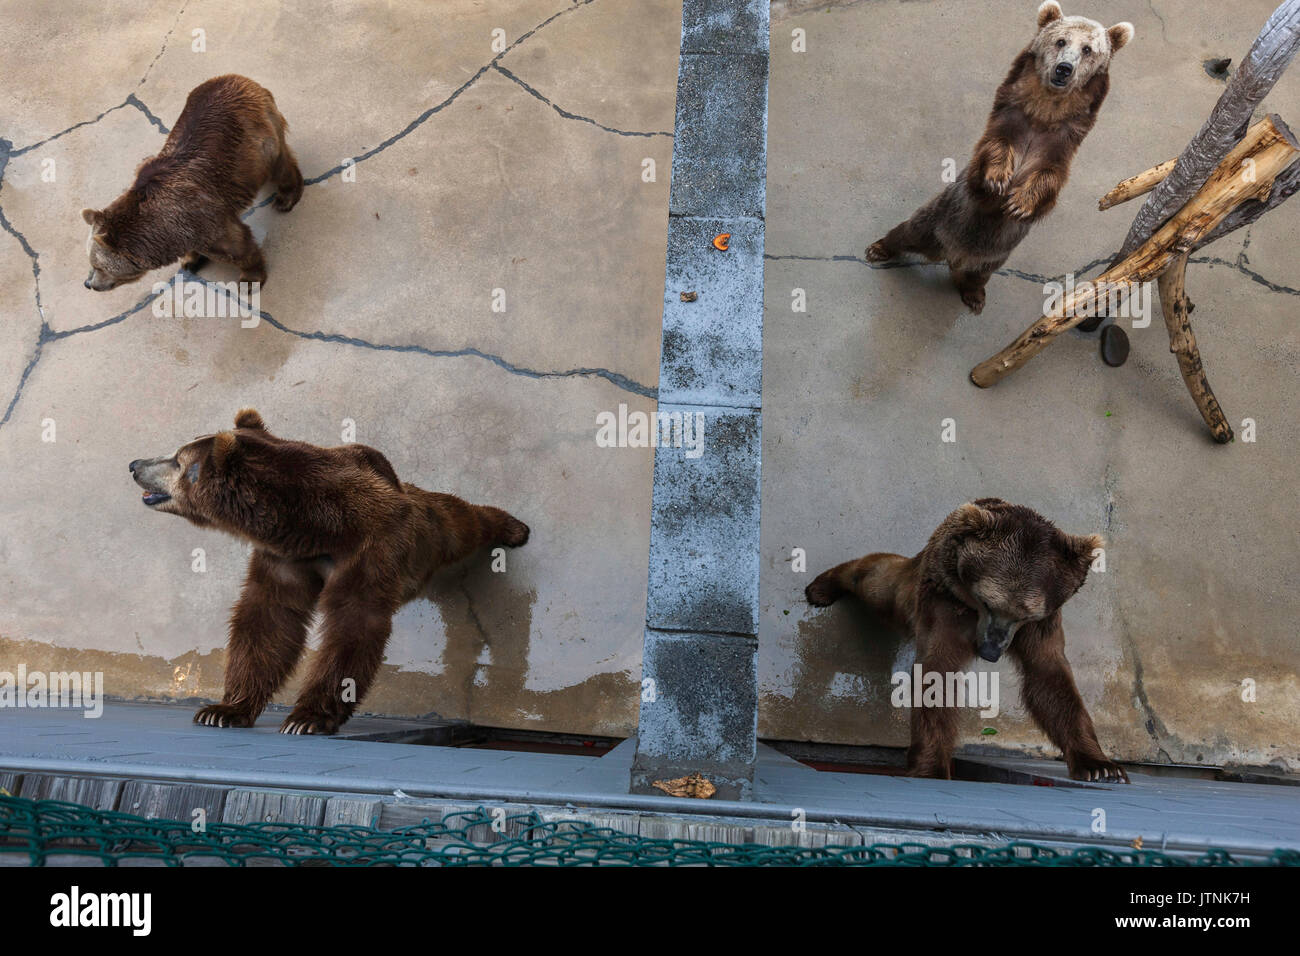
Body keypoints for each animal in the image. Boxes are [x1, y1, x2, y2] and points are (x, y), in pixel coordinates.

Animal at [82, 74, 302, 291]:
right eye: (91, 264)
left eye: (98, 266)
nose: (90, 284)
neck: (160, 232)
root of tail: (238, 78)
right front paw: (190, 260)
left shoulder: (201, 218)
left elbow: (236, 246)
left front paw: (250, 278)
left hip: (257, 140)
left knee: (279, 164)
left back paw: (286, 198)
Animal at [128, 409, 530, 735]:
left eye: (178, 460)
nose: (134, 464)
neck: (316, 526)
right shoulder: (284, 558)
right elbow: (267, 619)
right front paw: (223, 710)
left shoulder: (371, 548)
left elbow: (352, 625)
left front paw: (306, 718)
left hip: (425, 529)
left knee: (457, 520)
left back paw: (512, 528)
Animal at [805, 498, 1128, 783]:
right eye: (987, 601)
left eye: (1025, 614)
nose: (990, 651)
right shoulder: (948, 603)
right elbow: (938, 672)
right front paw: (932, 766)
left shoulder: (1042, 624)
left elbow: (1049, 678)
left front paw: (1101, 767)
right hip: (921, 580)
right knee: (880, 583)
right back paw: (822, 587)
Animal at [865, 2, 1134, 313]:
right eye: (1061, 41)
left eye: (1088, 49)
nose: (1064, 68)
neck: (1044, 115)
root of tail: (951, 255)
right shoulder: (1009, 122)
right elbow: (992, 152)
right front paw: (997, 181)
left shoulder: (1060, 145)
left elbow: (1048, 178)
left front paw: (1019, 204)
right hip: (939, 220)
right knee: (907, 231)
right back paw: (878, 248)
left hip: (994, 257)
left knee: (978, 275)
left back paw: (974, 296)